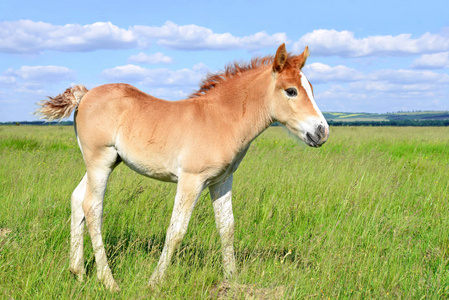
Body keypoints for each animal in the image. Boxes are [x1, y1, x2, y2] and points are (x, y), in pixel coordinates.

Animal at [35, 43, 328, 292]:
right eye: (291, 90)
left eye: (311, 88)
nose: (322, 132)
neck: (221, 118)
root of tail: (85, 95)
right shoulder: (191, 180)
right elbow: (176, 231)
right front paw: (154, 282)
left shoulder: (222, 181)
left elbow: (227, 228)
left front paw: (232, 281)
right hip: (100, 161)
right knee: (93, 208)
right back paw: (108, 281)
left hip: (104, 162)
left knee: (77, 199)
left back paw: (77, 271)